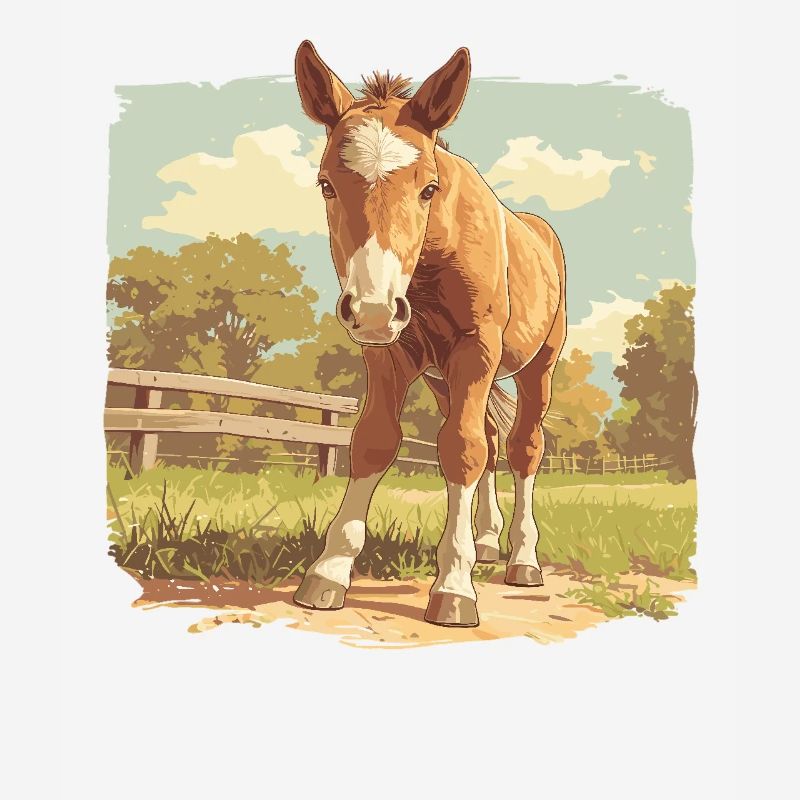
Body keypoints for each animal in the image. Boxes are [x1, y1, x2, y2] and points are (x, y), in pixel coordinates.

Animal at [292, 41, 567, 627]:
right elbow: (375, 442)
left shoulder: (477, 348)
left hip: (537, 367)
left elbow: (461, 450)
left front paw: (455, 588)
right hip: (443, 378)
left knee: (521, 447)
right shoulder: (390, 355)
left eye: (428, 189)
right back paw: (486, 542)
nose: (373, 307)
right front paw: (328, 573)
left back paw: (522, 560)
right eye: (326, 184)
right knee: (490, 438)